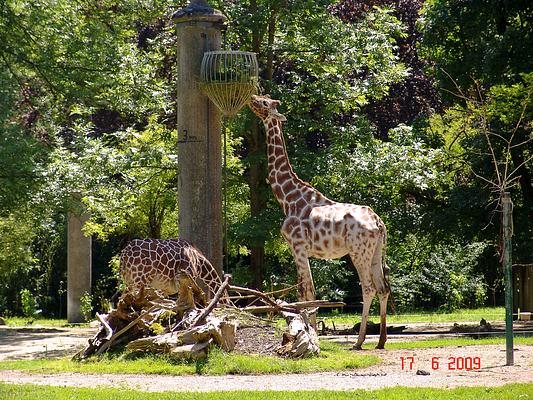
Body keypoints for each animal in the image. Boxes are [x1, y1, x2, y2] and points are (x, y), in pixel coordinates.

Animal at [247, 95, 388, 348]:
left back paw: (359, 341)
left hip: (358, 252)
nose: (251, 98)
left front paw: (309, 333)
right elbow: (305, 292)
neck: (287, 198)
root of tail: (379, 223)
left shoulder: (298, 247)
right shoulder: (300, 250)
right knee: (382, 288)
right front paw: (307, 330)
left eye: (264, 103)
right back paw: (380, 341)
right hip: (376, 252)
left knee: (368, 288)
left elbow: (307, 291)